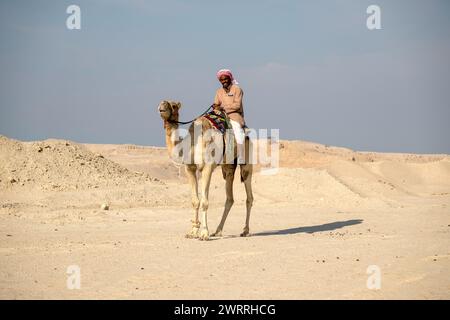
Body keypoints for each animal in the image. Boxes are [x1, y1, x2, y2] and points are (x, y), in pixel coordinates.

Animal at [158, 100, 253, 240]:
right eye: (162, 102)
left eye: (174, 105)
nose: (162, 106)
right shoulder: (190, 168)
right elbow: (195, 201)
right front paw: (192, 232)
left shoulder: (207, 167)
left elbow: (204, 201)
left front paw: (204, 233)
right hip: (228, 166)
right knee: (230, 198)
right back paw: (218, 231)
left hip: (246, 160)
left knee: (249, 196)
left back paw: (245, 231)